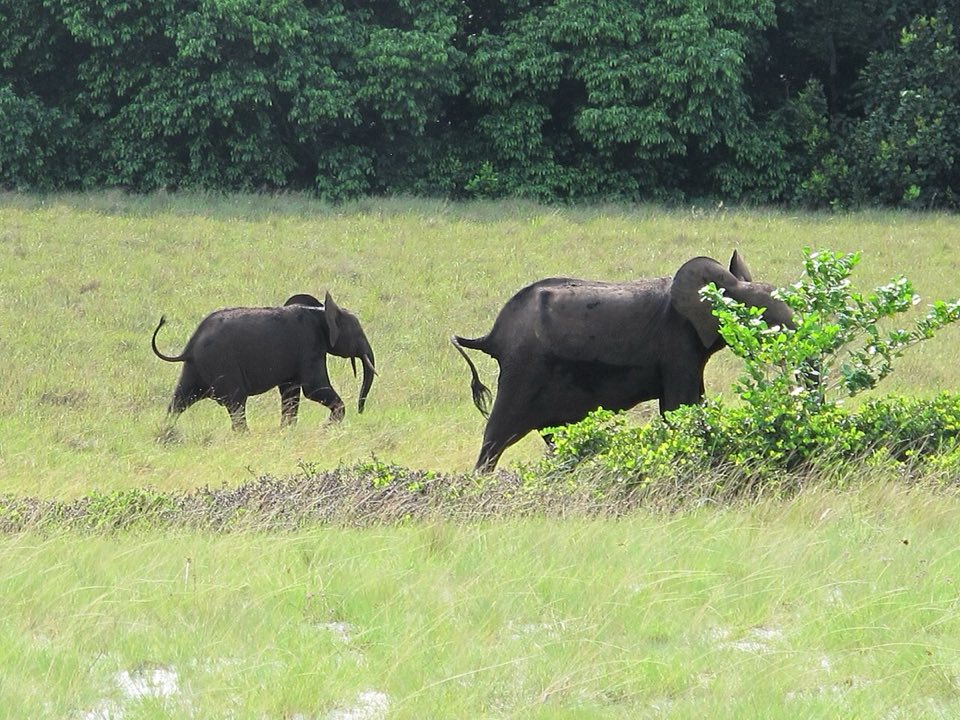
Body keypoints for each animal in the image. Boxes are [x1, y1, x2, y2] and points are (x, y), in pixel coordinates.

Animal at [151, 291, 376, 430]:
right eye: (358, 332)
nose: (361, 411)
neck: (320, 311)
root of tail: (189, 347)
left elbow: (290, 391)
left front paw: (287, 431)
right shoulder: (309, 346)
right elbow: (313, 388)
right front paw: (326, 428)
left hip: (197, 367)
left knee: (180, 400)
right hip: (221, 363)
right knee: (236, 402)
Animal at [451, 251, 793, 471]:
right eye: (762, 317)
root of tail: (491, 336)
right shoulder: (676, 341)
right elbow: (678, 407)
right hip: (524, 367)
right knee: (498, 434)